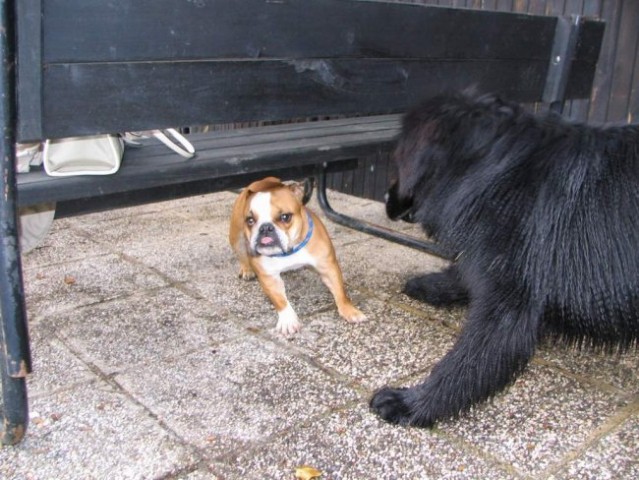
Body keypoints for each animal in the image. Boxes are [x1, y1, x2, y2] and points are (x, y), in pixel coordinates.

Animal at [229, 177, 366, 334]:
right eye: (250, 220)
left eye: (285, 217)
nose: (265, 228)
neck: (289, 251)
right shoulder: (269, 277)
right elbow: (280, 300)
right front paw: (288, 320)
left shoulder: (328, 267)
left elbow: (339, 291)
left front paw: (349, 310)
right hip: (237, 238)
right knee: (242, 254)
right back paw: (247, 270)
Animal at [370, 92, 639, 427]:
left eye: (399, 161)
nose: (385, 197)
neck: (491, 166)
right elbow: (463, 274)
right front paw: (433, 286)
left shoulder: (510, 300)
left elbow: (468, 360)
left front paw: (413, 404)